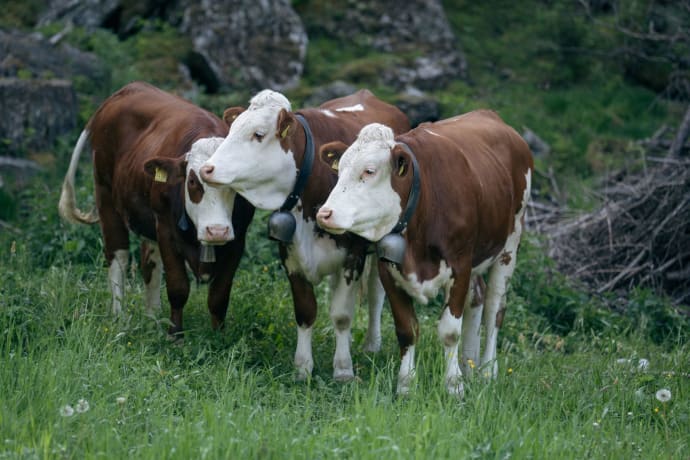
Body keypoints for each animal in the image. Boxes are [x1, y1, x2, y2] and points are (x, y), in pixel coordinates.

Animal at [58, 81, 255, 336]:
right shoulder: (166, 229)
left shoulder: (238, 238)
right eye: (192, 181)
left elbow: (219, 295)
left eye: (233, 179)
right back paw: (119, 319)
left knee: (149, 264)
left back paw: (153, 317)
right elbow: (178, 287)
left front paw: (219, 336)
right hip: (105, 196)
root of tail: (125, 90)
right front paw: (175, 335)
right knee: (118, 258)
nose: (217, 231)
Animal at [199, 89, 410, 381]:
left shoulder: (353, 257)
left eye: (258, 134)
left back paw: (371, 344)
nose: (207, 169)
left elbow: (342, 315)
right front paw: (302, 368)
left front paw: (343, 369)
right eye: (232, 128)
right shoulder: (290, 256)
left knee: (376, 293)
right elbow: (305, 311)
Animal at [315, 110, 533, 395]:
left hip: (510, 246)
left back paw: (487, 371)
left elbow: (450, 331)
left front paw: (453, 386)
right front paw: (406, 385)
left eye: (369, 171)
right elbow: (407, 329)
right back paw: (469, 363)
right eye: (339, 170)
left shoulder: (460, 266)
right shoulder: (389, 270)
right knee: (477, 297)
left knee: (495, 307)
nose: (324, 213)